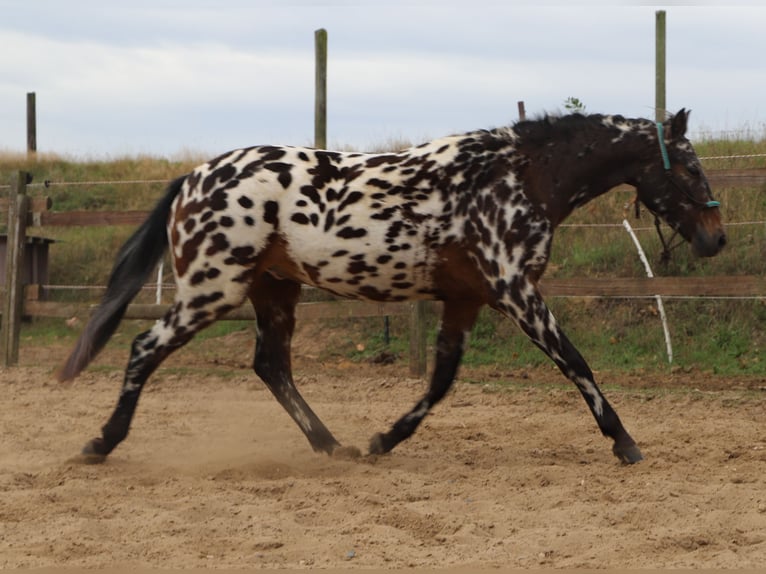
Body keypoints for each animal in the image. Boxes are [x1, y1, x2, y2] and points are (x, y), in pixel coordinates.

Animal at [59, 109, 725, 465]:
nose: (715, 239)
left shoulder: (466, 300)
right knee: (146, 347)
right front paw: (625, 442)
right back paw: (100, 443)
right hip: (212, 289)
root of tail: (194, 178)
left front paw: (383, 439)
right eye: (691, 167)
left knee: (271, 366)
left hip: (272, 291)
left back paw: (334, 447)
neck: (520, 178)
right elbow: (575, 362)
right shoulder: (515, 291)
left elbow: (441, 381)